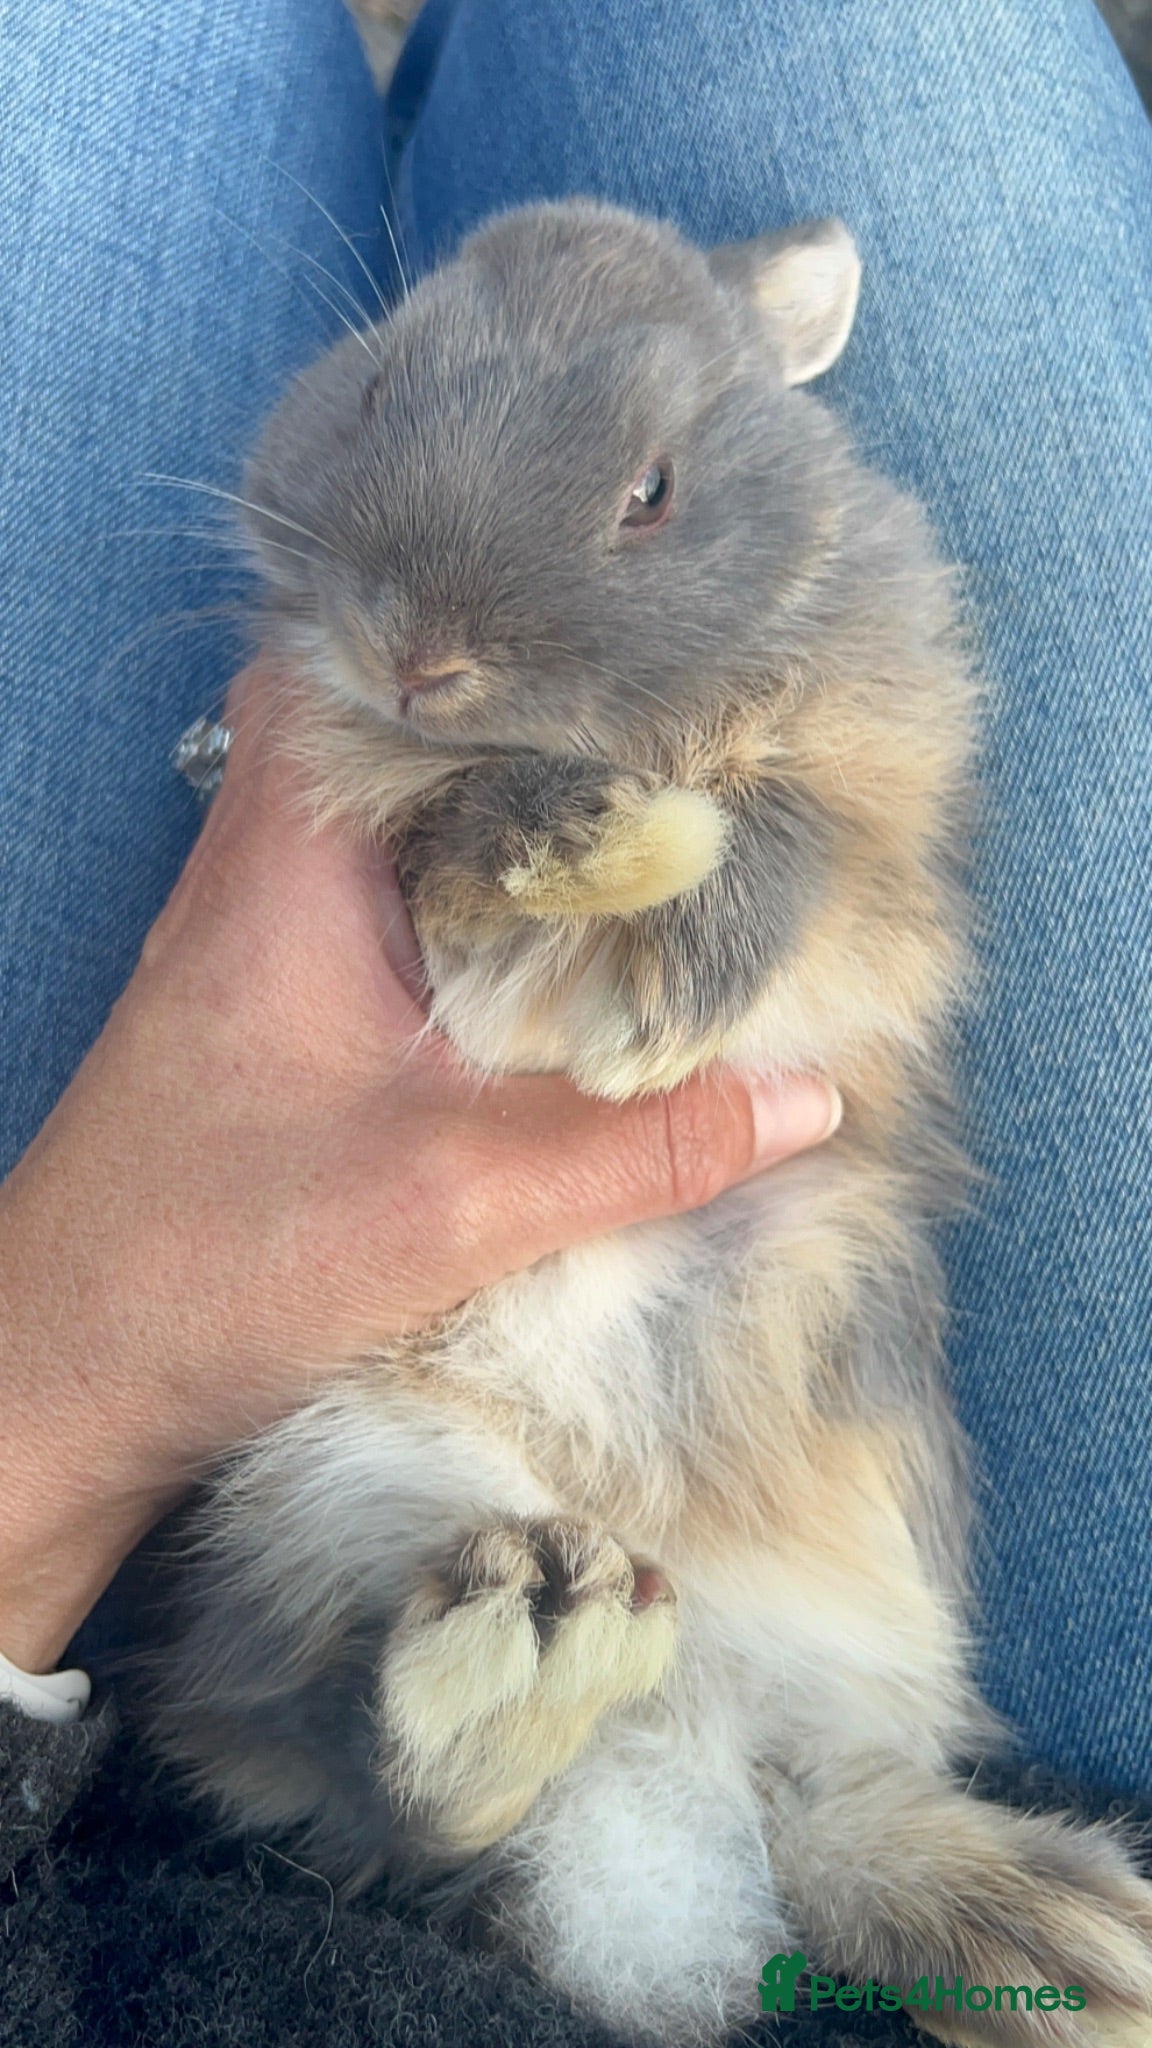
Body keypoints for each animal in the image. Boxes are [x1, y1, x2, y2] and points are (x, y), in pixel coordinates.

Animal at [146, 200, 1152, 2047]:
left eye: (653, 492)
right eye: (377, 381)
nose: (418, 654)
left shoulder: (871, 793)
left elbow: (789, 842)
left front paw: (641, 942)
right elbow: (446, 843)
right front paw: (588, 866)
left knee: (823, 1818)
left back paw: (1067, 1941)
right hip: (317, 1492)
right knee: (381, 1766)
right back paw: (520, 1671)